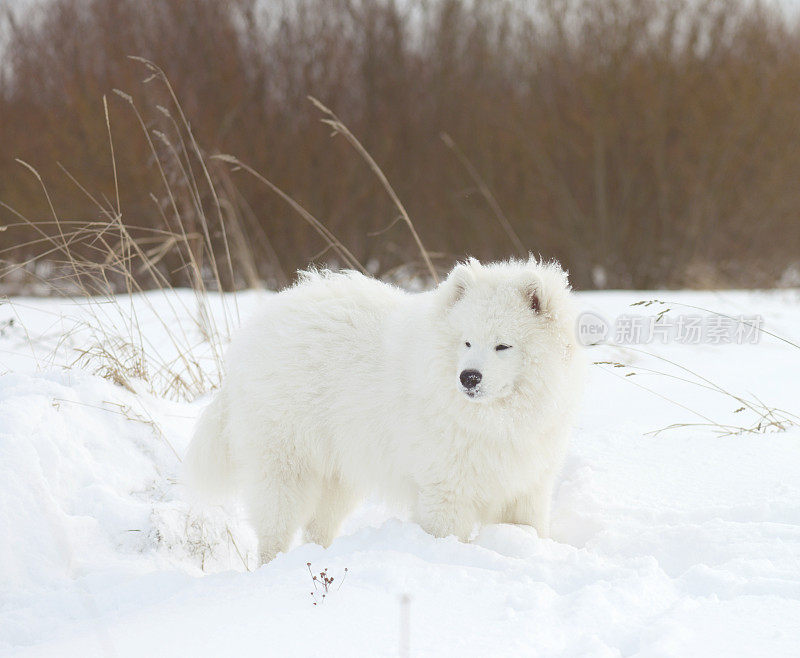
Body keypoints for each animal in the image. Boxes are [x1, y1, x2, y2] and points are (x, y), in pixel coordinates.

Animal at [188, 256, 588, 564]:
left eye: (503, 346)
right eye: (467, 342)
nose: (469, 377)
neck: (495, 421)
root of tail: (253, 331)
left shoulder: (527, 488)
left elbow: (528, 530)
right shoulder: (444, 491)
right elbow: (446, 535)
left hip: (338, 474)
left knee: (318, 528)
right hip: (286, 466)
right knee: (275, 530)